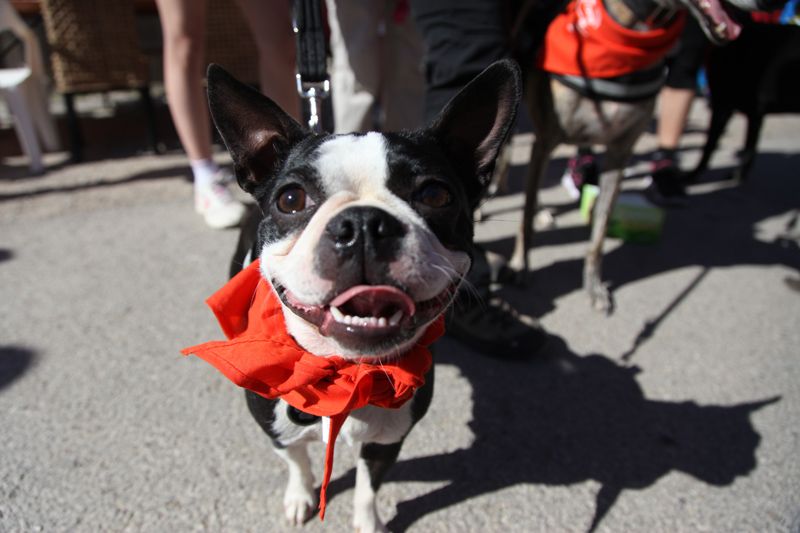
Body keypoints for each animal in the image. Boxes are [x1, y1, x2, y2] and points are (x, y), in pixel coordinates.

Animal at [201, 60, 520, 531]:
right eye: (290, 199)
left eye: (435, 195)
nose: (365, 224)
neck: (348, 370)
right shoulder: (275, 428)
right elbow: (296, 460)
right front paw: (300, 496)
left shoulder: (389, 440)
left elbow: (370, 486)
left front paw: (369, 522)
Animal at [507, 0, 776, 313]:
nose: (773, 4)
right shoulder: (545, 141)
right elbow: (525, 218)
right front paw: (520, 265)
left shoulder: (620, 152)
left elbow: (600, 232)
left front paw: (593, 285)